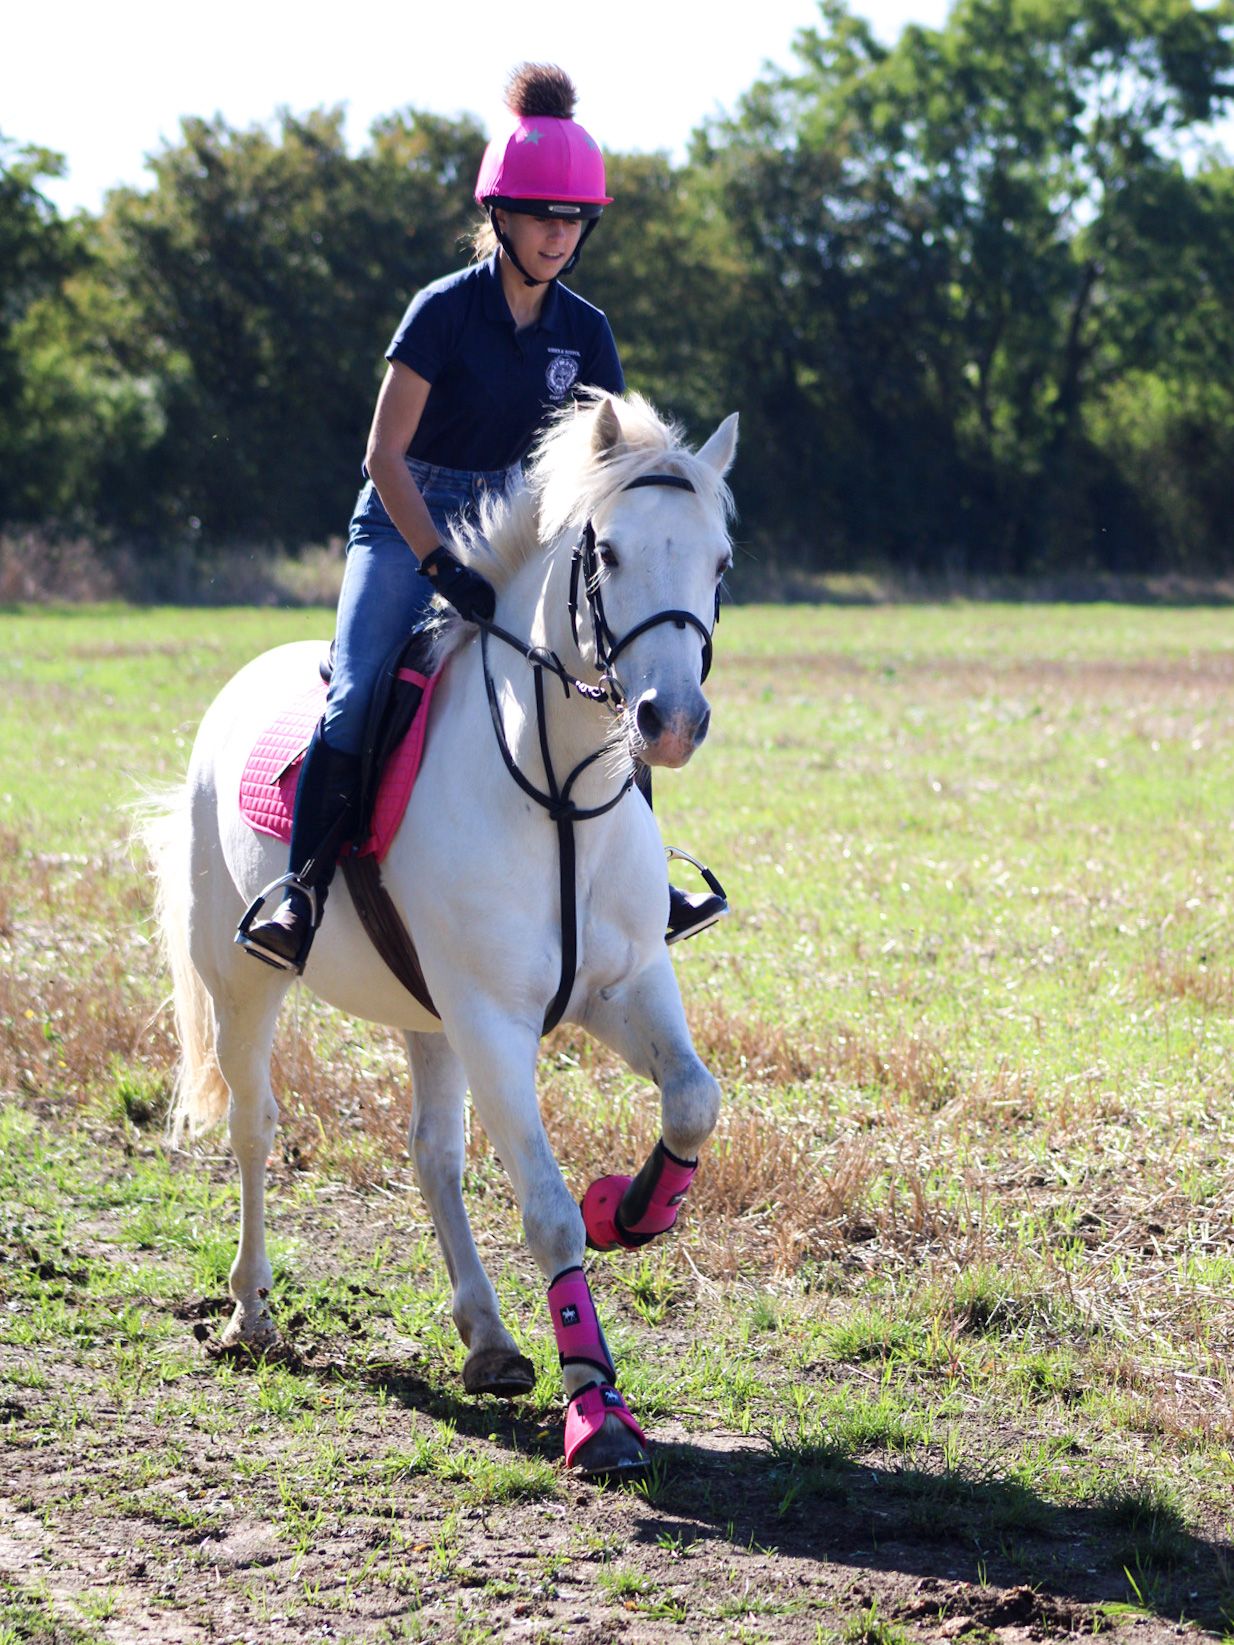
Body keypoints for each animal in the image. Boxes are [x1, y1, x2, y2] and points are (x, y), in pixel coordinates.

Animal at [144, 392, 738, 1475]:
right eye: (610, 552)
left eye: (717, 561)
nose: (669, 719)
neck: (555, 794)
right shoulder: (493, 1021)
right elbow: (544, 1208)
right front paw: (597, 1407)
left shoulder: (626, 985)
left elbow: (691, 1102)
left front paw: (629, 1209)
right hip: (244, 983)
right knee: (255, 1126)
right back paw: (251, 1311)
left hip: (427, 1015)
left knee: (432, 1154)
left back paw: (491, 1337)